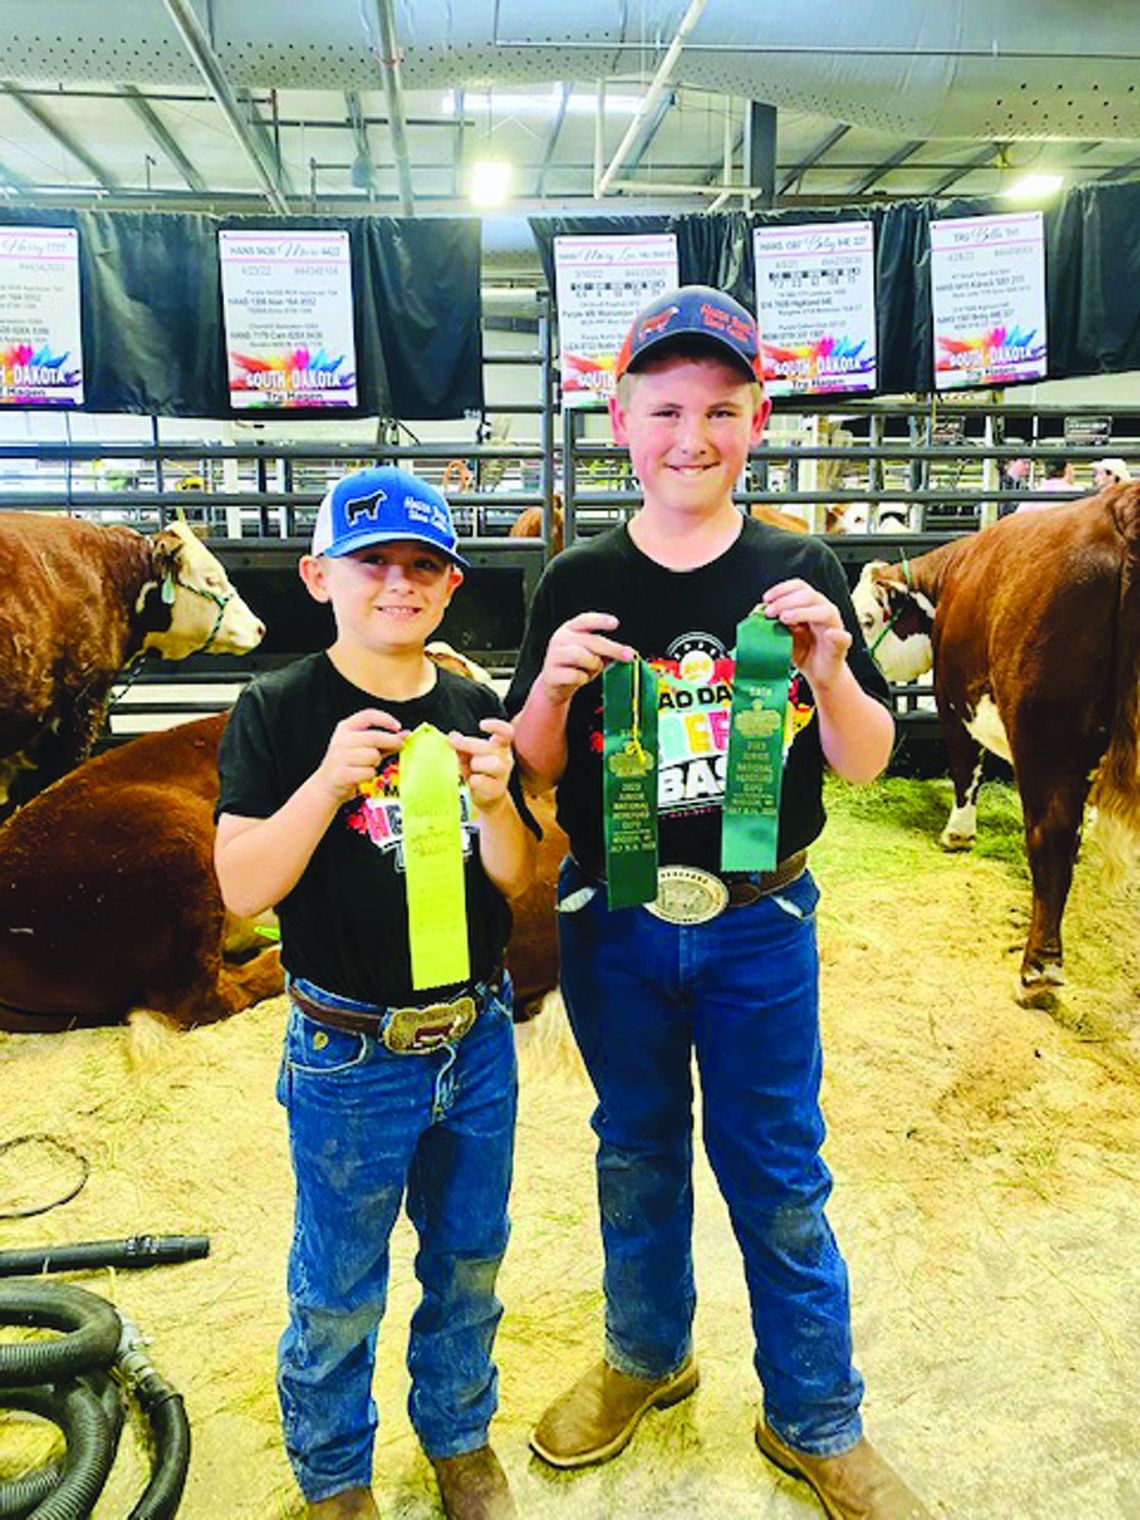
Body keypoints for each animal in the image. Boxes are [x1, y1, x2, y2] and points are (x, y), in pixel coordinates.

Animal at [857, 489, 1140, 1009]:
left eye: (866, 617)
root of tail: (1118, 510)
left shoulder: (951, 698)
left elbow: (967, 768)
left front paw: (957, 834)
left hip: (1044, 733)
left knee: (1051, 835)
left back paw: (1038, 971)